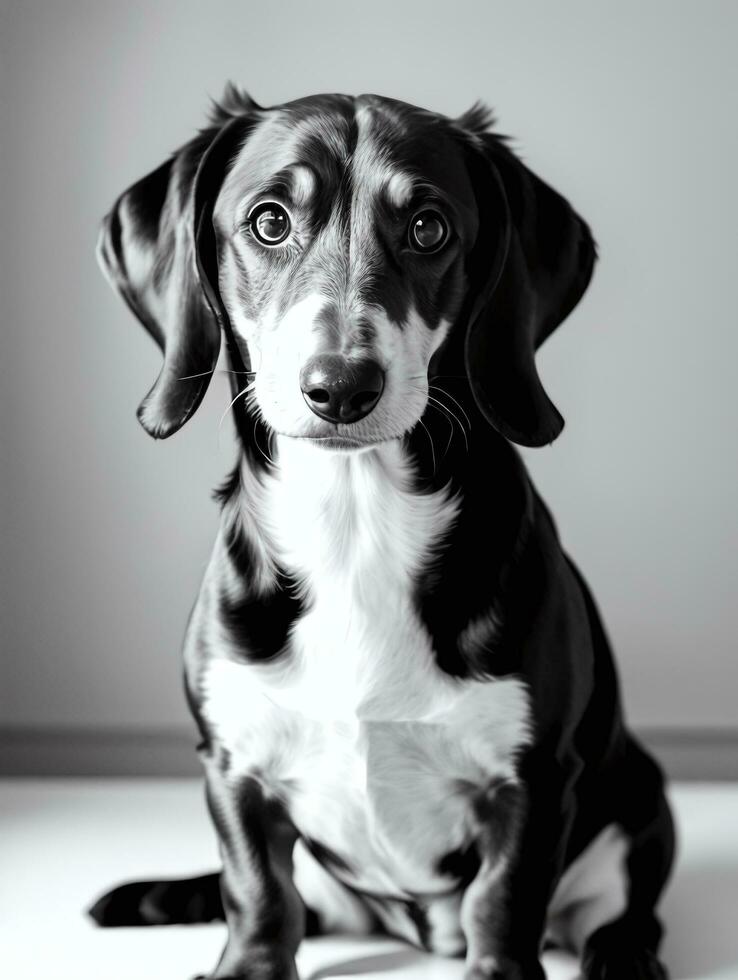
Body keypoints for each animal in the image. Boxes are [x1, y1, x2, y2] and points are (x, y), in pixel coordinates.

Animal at [90, 88, 672, 976]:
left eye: (428, 228)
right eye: (268, 221)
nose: (340, 386)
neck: (354, 530)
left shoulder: (533, 779)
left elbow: (504, 906)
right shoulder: (233, 766)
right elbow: (257, 894)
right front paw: (246, 964)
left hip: (640, 802)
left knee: (627, 914)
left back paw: (623, 953)